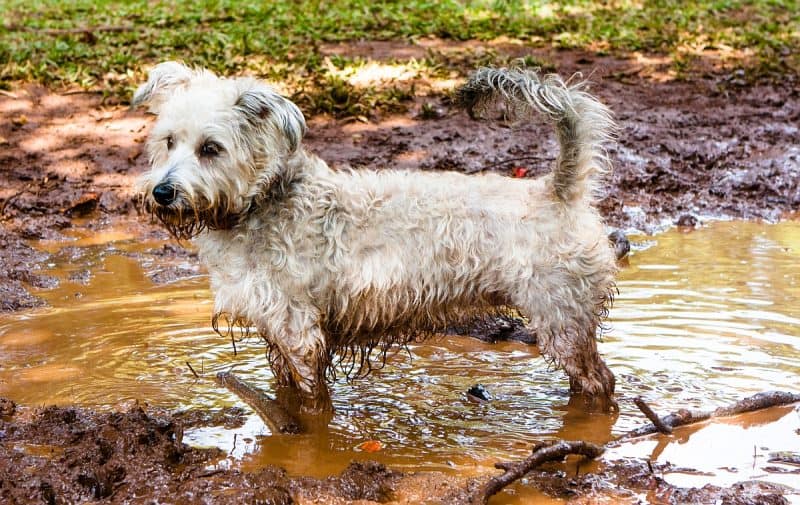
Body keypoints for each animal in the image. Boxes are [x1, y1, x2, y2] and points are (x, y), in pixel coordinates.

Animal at [133, 61, 620, 412]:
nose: (162, 193)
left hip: (562, 319)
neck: (258, 202)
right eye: (169, 141)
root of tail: (557, 191)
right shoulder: (277, 333)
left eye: (211, 149)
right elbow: (287, 388)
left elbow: (312, 402)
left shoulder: (299, 334)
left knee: (599, 382)